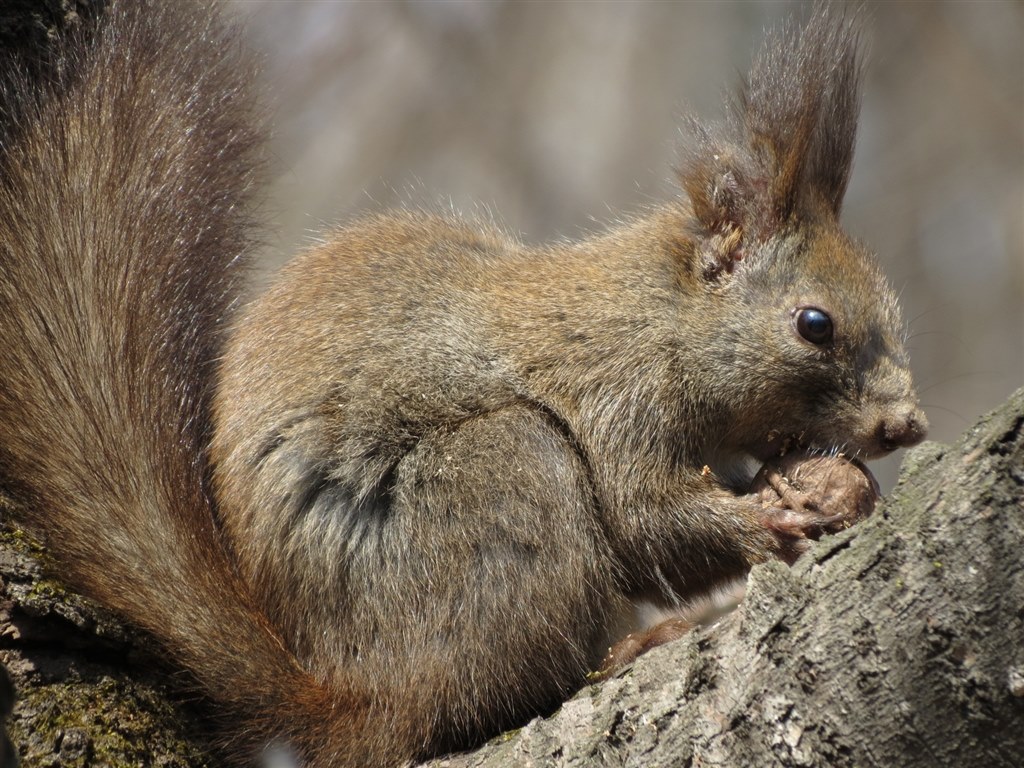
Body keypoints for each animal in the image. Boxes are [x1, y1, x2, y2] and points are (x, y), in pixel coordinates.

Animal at [0, 1, 929, 768]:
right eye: (815, 324)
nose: (906, 427)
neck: (657, 319)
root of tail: (346, 696)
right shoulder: (616, 394)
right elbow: (645, 521)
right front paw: (769, 519)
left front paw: (838, 491)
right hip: (503, 478)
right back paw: (624, 652)